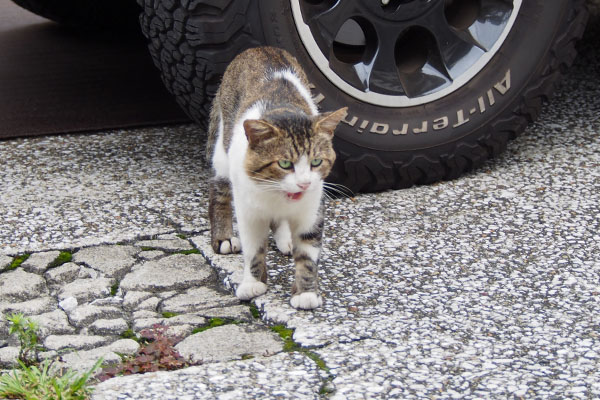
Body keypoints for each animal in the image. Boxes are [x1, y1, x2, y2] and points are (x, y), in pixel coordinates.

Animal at [207, 46, 344, 310]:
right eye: (284, 164)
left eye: (316, 162)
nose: (304, 182)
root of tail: (260, 48)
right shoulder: (248, 211)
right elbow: (253, 248)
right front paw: (252, 283)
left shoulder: (312, 210)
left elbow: (308, 253)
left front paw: (305, 293)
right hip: (222, 153)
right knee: (219, 190)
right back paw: (224, 237)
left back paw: (284, 239)